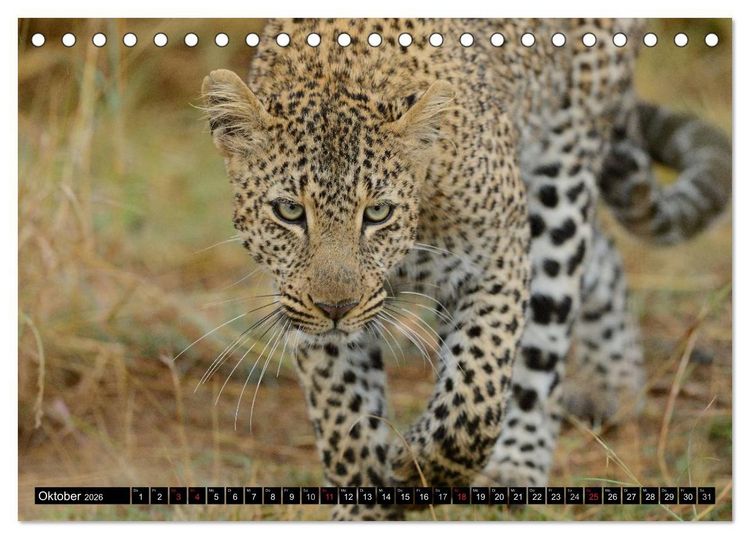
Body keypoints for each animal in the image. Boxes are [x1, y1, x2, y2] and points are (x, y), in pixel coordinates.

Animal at [201, 18, 731, 520]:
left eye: (378, 213)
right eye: (290, 211)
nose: (336, 306)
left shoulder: (499, 253)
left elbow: (477, 389)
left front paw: (414, 467)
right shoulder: (304, 305)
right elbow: (344, 415)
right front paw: (365, 505)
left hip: (560, 176)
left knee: (546, 334)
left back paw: (520, 460)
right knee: (602, 252)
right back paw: (615, 385)